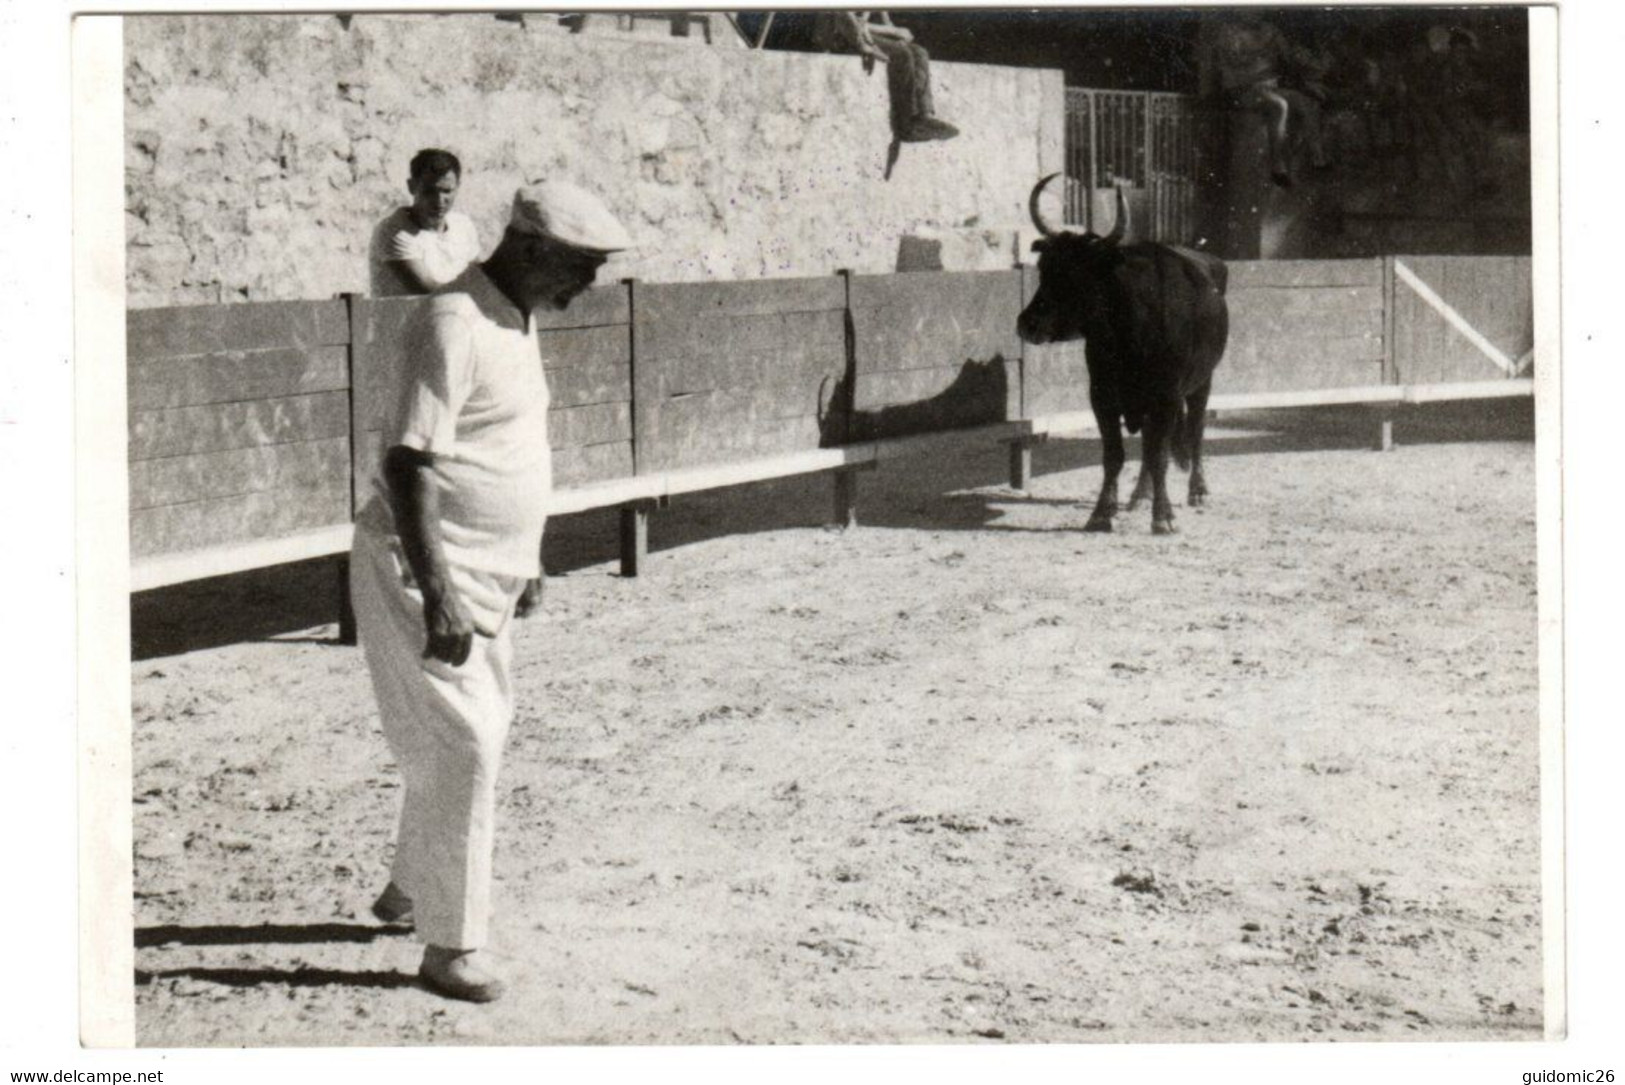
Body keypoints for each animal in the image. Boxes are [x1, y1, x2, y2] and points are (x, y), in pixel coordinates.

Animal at [1014, 176, 1228, 536]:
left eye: (1079, 275)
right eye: (1044, 269)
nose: (1028, 324)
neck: (1130, 332)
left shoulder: (1166, 396)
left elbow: (1160, 455)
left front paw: (1164, 517)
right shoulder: (1102, 395)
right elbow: (1114, 455)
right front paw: (1102, 513)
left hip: (1203, 382)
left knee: (1194, 431)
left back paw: (1198, 491)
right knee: (1148, 446)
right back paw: (1140, 495)